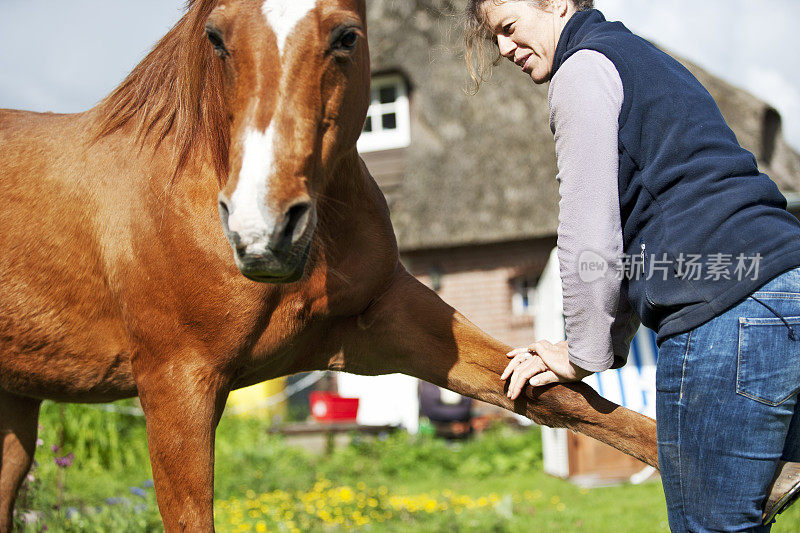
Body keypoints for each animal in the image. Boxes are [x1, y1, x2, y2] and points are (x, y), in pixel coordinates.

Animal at [0, 1, 656, 528]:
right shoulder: (175, 385)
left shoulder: (388, 325)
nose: (262, 230)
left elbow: (576, 405)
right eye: (216, 37)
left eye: (346, 35)